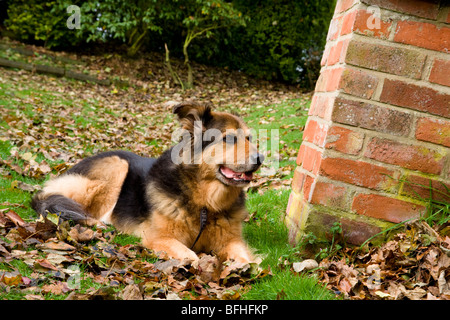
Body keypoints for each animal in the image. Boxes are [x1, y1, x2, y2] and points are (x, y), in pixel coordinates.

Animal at [32, 101, 264, 264]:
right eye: (229, 139)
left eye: (250, 139)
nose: (260, 158)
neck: (204, 202)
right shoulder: (159, 238)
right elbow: (191, 256)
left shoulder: (230, 240)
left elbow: (245, 257)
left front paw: (241, 266)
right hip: (116, 165)